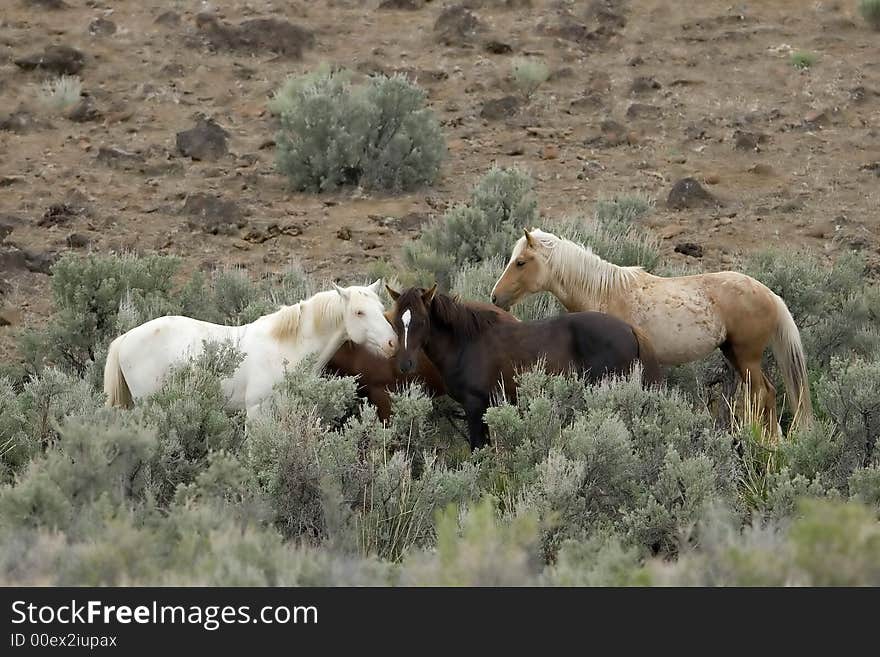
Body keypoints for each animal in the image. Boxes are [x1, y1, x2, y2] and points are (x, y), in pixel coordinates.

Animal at [100, 280, 398, 416]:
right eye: (359, 312)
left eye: (380, 307)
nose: (392, 342)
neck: (286, 348)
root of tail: (125, 338)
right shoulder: (256, 411)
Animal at [384, 284, 660, 448]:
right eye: (396, 320)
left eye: (421, 321)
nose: (405, 364)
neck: (466, 343)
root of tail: (629, 329)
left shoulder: (474, 406)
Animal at [488, 228, 812, 428]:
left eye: (520, 262)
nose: (495, 297)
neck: (604, 291)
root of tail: (769, 294)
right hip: (734, 354)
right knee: (768, 393)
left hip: (747, 358)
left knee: (763, 394)